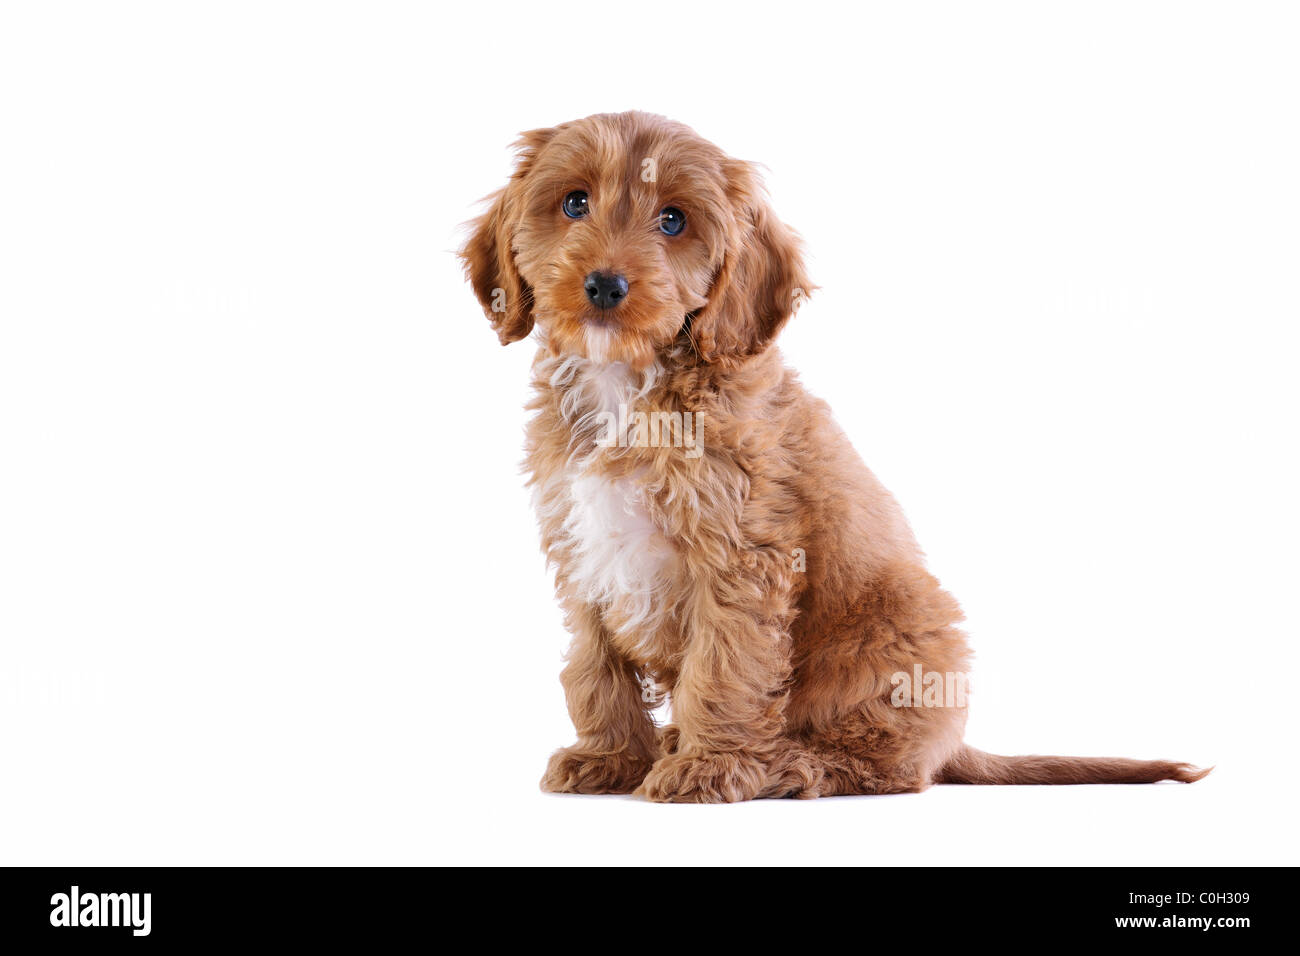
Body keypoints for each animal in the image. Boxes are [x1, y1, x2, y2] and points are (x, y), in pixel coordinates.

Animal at [460, 110, 1206, 801]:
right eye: (574, 203)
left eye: (673, 220)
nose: (605, 286)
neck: (628, 383)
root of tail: (953, 742)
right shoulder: (581, 542)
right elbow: (595, 667)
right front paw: (611, 757)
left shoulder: (741, 558)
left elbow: (723, 669)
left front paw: (710, 766)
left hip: (894, 640)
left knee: (887, 764)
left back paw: (789, 765)